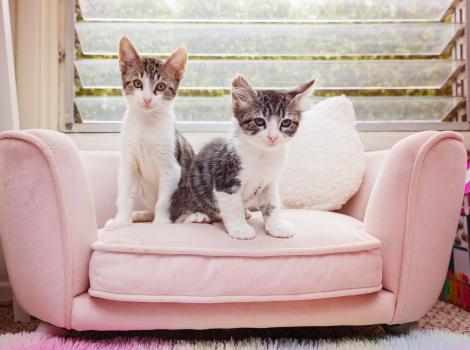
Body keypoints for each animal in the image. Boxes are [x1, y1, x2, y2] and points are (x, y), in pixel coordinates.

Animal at [105, 37, 195, 230]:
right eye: (137, 83)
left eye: (161, 86)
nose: (147, 99)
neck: (147, 123)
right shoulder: (129, 162)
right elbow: (125, 193)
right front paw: (121, 220)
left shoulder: (171, 166)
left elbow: (164, 199)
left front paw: (161, 222)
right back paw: (144, 214)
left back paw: (194, 216)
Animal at [171, 73, 314, 238]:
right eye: (259, 121)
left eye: (286, 123)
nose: (273, 137)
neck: (262, 155)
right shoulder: (225, 177)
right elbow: (232, 207)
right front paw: (240, 228)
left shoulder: (269, 183)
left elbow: (272, 204)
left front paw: (276, 226)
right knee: (179, 217)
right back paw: (196, 216)